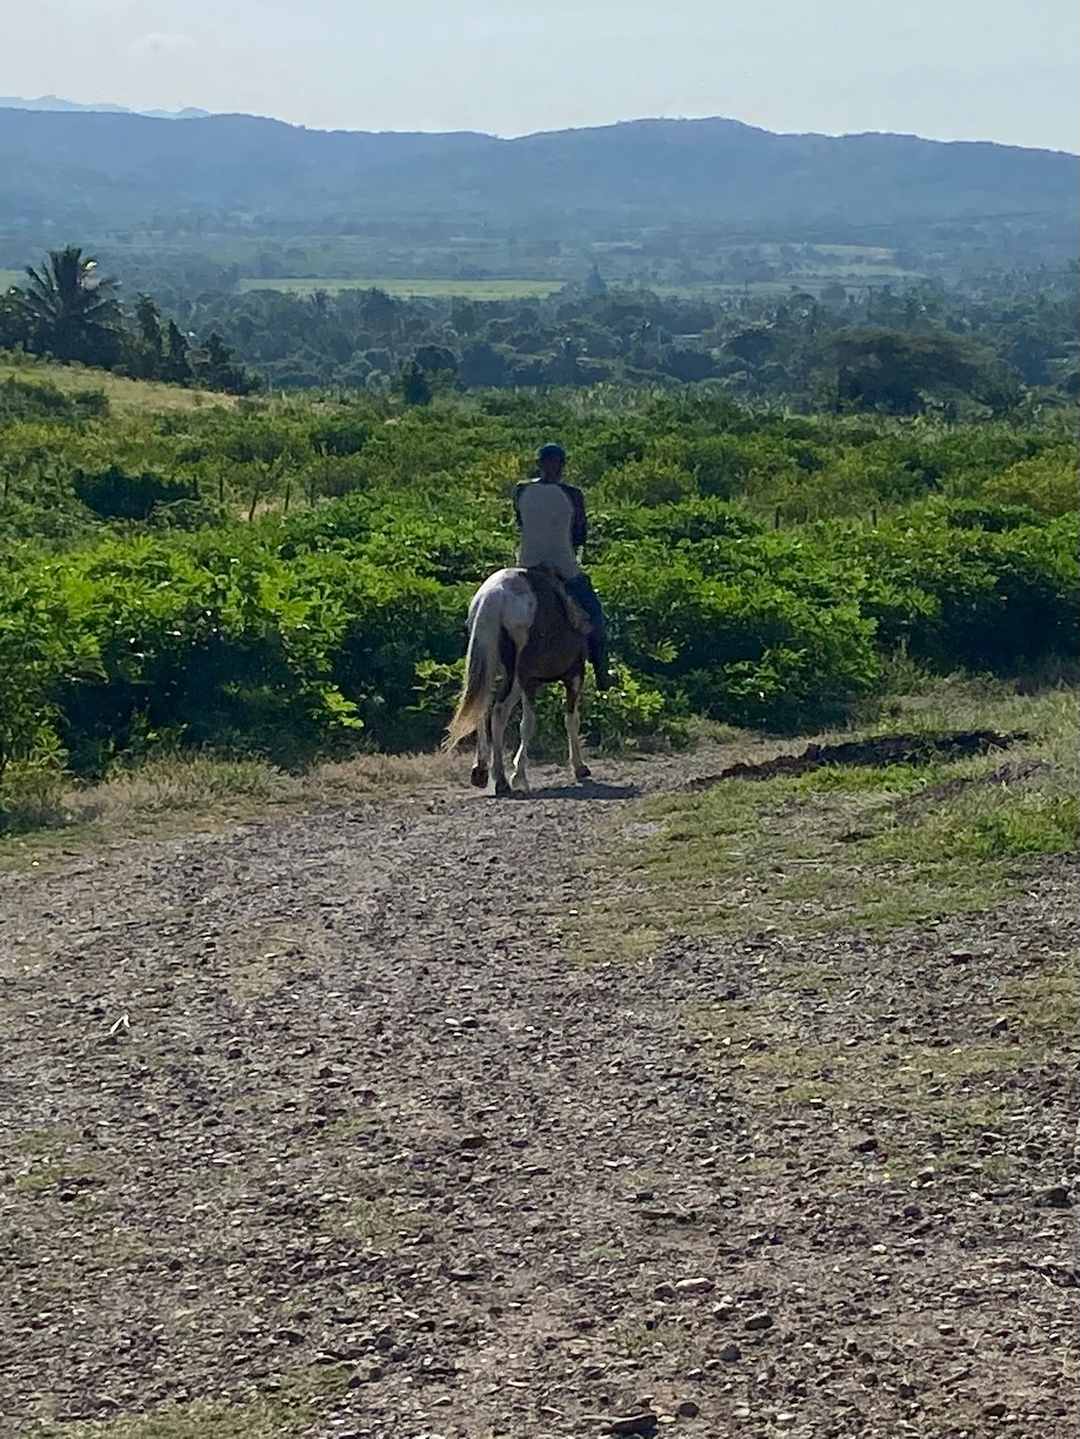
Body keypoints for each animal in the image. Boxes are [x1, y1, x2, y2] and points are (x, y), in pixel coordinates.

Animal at [444, 566, 592, 796]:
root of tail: (495, 595)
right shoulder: (573, 675)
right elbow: (568, 719)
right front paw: (578, 767)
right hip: (522, 676)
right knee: (511, 717)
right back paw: (508, 779)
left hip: (491, 667)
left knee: (485, 708)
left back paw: (484, 773)